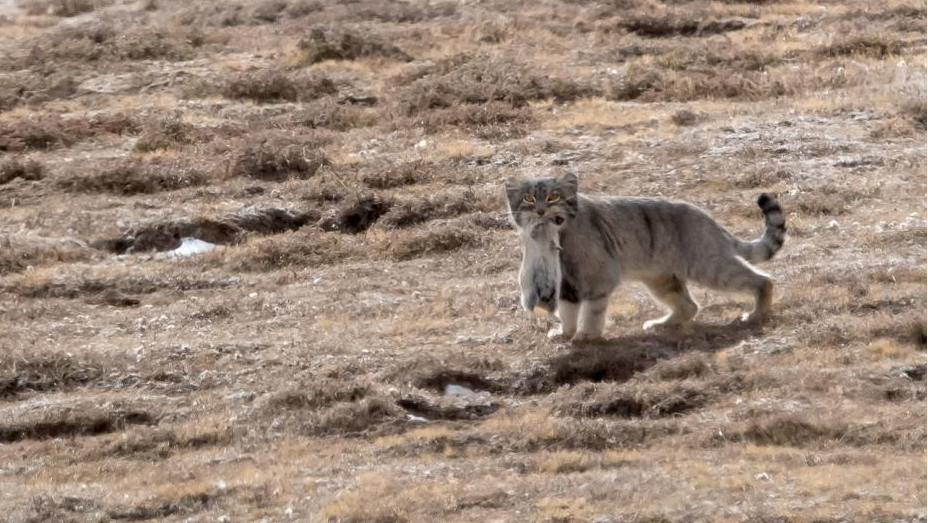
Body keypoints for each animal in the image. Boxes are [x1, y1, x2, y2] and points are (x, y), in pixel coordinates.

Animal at [504, 174, 788, 342]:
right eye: (529, 198)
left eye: (553, 197)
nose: (541, 212)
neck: (562, 234)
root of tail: (709, 219)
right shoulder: (567, 282)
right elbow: (567, 309)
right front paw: (566, 333)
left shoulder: (597, 278)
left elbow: (592, 310)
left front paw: (587, 335)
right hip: (661, 280)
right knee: (689, 306)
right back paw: (661, 324)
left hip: (710, 265)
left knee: (763, 279)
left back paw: (756, 314)